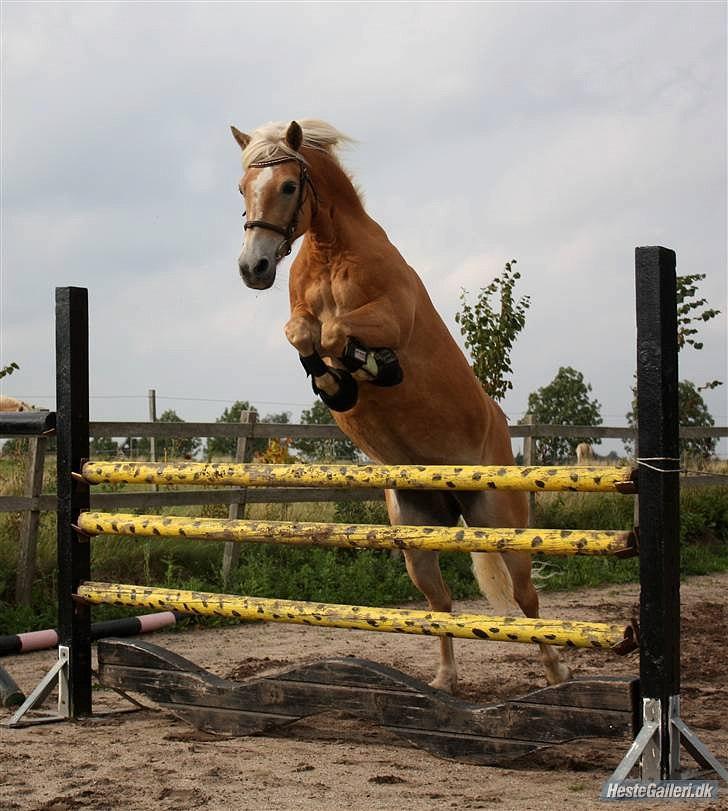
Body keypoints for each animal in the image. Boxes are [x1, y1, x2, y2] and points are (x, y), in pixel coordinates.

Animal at [230, 119, 572, 692]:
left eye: (288, 186)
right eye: (242, 190)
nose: (252, 268)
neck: (330, 249)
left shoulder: (389, 319)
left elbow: (336, 332)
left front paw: (366, 367)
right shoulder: (301, 318)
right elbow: (303, 333)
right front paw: (333, 382)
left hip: (502, 522)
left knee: (526, 600)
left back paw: (557, 673)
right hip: (416, 534)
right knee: (440, 604)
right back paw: (444, 681)